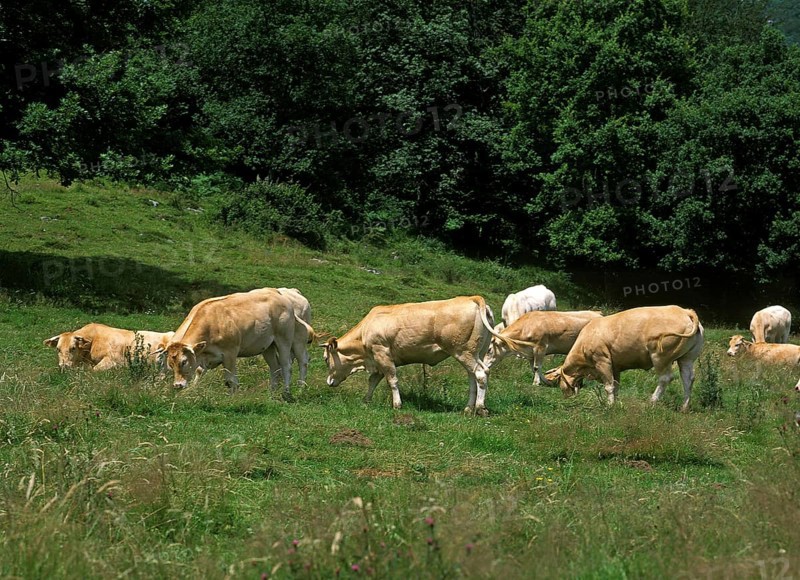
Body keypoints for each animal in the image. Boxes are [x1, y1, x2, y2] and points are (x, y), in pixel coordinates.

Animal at [159, 288, 314, 398]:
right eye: (170, 364)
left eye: (184, 361)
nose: (177, 385)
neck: (211, 323)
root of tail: (279, 293)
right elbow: (199, 371)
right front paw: (190, 391)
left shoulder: (230, 353)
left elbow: (230, 380)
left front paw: (233, 398)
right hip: (268, 346)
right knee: (275, 368)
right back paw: (272, 392)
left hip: (285, 340)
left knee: (289, 364)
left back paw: (288, 391)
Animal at [321, 296, 499, 415]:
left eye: (325, 359)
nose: (328, 381)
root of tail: (472, 298)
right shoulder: (378, 360)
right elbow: (373, 381)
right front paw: (366, 400)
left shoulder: (382, 354)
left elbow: (392, 380)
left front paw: (397, 404)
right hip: (477, 352)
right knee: (473, 376)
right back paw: (468, 408)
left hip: (464, 352)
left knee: (480, 374)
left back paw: (480, 408)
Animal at [544, 305, 704, 411]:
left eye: (559, 381)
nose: (567, 399)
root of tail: (685, 311)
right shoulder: (616, 366)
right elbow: (616, 386)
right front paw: (616, 403)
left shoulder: (602, 361)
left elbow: (609, 386)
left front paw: (609, 405)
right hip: (687, 358)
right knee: (688, 379)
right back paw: (684, 407)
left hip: (660, 356)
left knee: (665, 378)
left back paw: (651, 402)